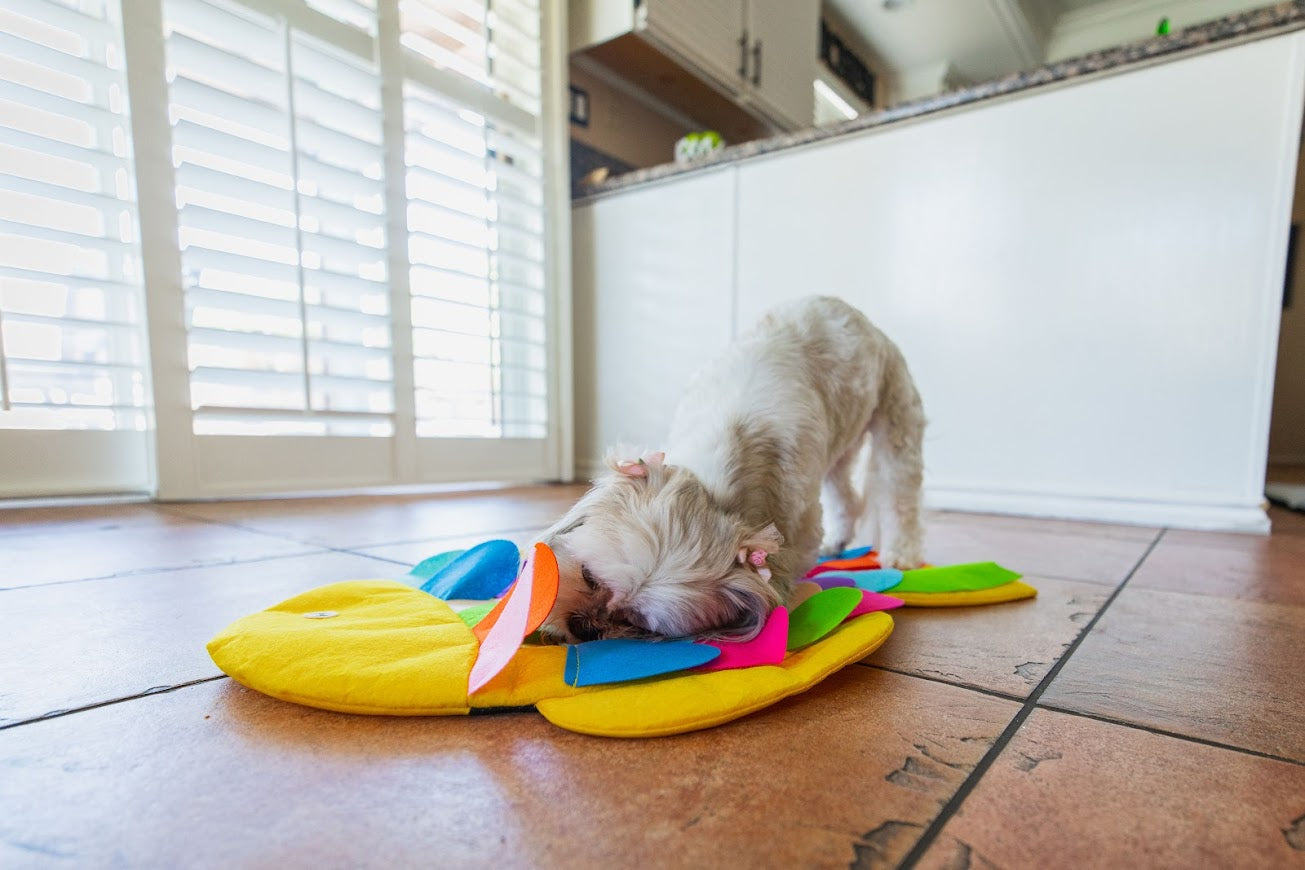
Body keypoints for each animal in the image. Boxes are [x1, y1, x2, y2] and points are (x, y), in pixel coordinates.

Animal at [535, 296, 923, 644]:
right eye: (588, 575)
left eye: (635, 622)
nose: (585, 626)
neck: (715, 487)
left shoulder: (797, 528)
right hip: (840, 447)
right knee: (847, 496)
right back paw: (839, 540)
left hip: (896, 413)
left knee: (898, 492)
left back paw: (900, 553)